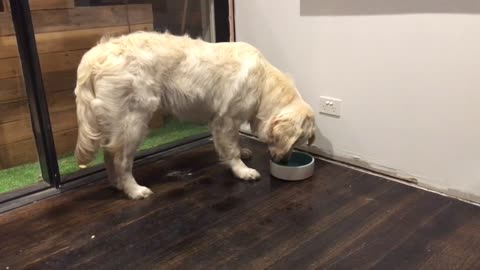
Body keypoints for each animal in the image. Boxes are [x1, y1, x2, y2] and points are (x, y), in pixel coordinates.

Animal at [74, 32, 316, 200]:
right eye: (296, 142)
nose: (284, 161)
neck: (263, 82)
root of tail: (96, 52)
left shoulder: (227, 120)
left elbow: (235, 142)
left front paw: (243, 153)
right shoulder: (225, 119)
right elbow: (231, 149)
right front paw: (242, 170)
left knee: (109, 153)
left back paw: (117, 185)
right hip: (134, 121)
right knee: (121, 160)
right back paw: (134, 190)